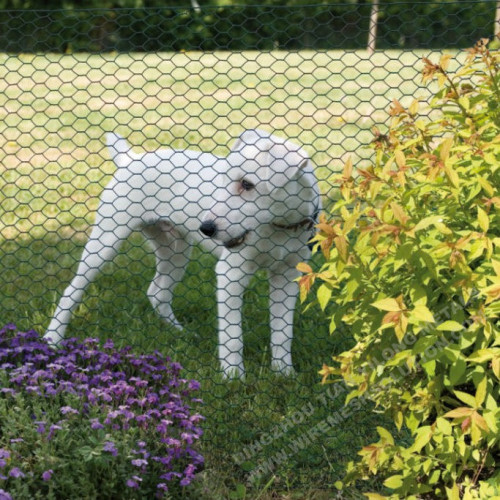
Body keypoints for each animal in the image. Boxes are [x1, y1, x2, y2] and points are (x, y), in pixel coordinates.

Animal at [45, 130, 322, 378]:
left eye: (247, 184)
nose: (206, 228)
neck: (279, 229)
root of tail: (129, 159)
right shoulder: (231, 274)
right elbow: (232, 336)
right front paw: (233, 376)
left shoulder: (286, 277)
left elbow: (282, 332)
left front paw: (284, 373)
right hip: (105, 242)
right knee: (71, 292)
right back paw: (52, 340)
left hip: (175, 252)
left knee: (157, 292)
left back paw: (181, 333)